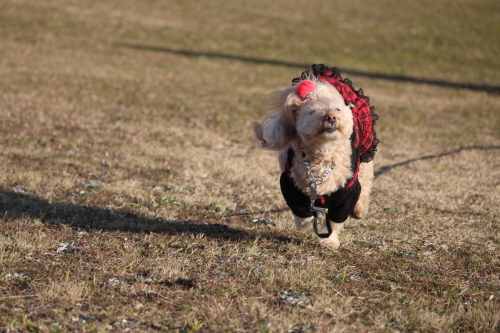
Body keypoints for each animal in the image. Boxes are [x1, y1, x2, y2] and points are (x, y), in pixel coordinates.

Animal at [254, 63, 378, 248]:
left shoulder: (346, 195)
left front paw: (329, 242)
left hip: (365, 158)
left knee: (366, 182)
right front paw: (305, 222)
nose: (331, 117)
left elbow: (334, 221)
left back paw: (359, 210)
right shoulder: (291, 186)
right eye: (313, 112)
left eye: (337, 109)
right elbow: (302, 212)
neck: (323, 156)